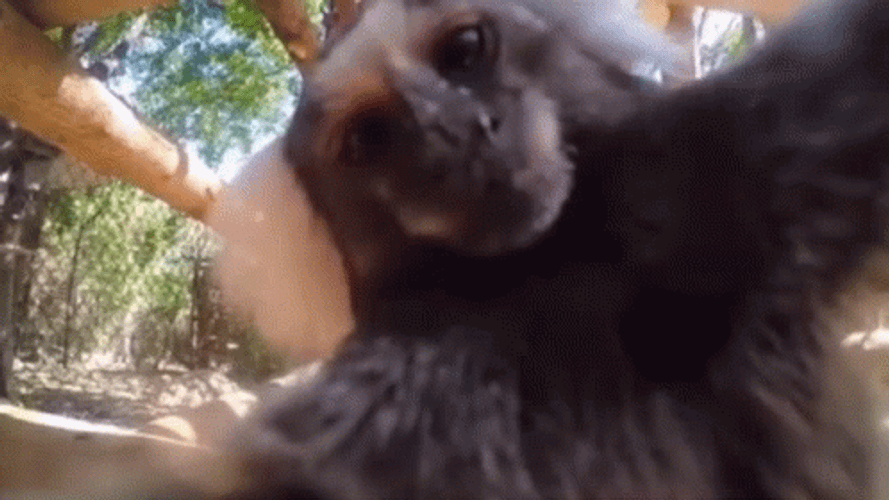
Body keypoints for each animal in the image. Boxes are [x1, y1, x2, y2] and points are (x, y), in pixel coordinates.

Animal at [217, 0, 889, 498]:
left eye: (465, 51)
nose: (458, 131)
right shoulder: (412, 390)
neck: (566, 254)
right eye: (368, 139)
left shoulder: (730, 146)